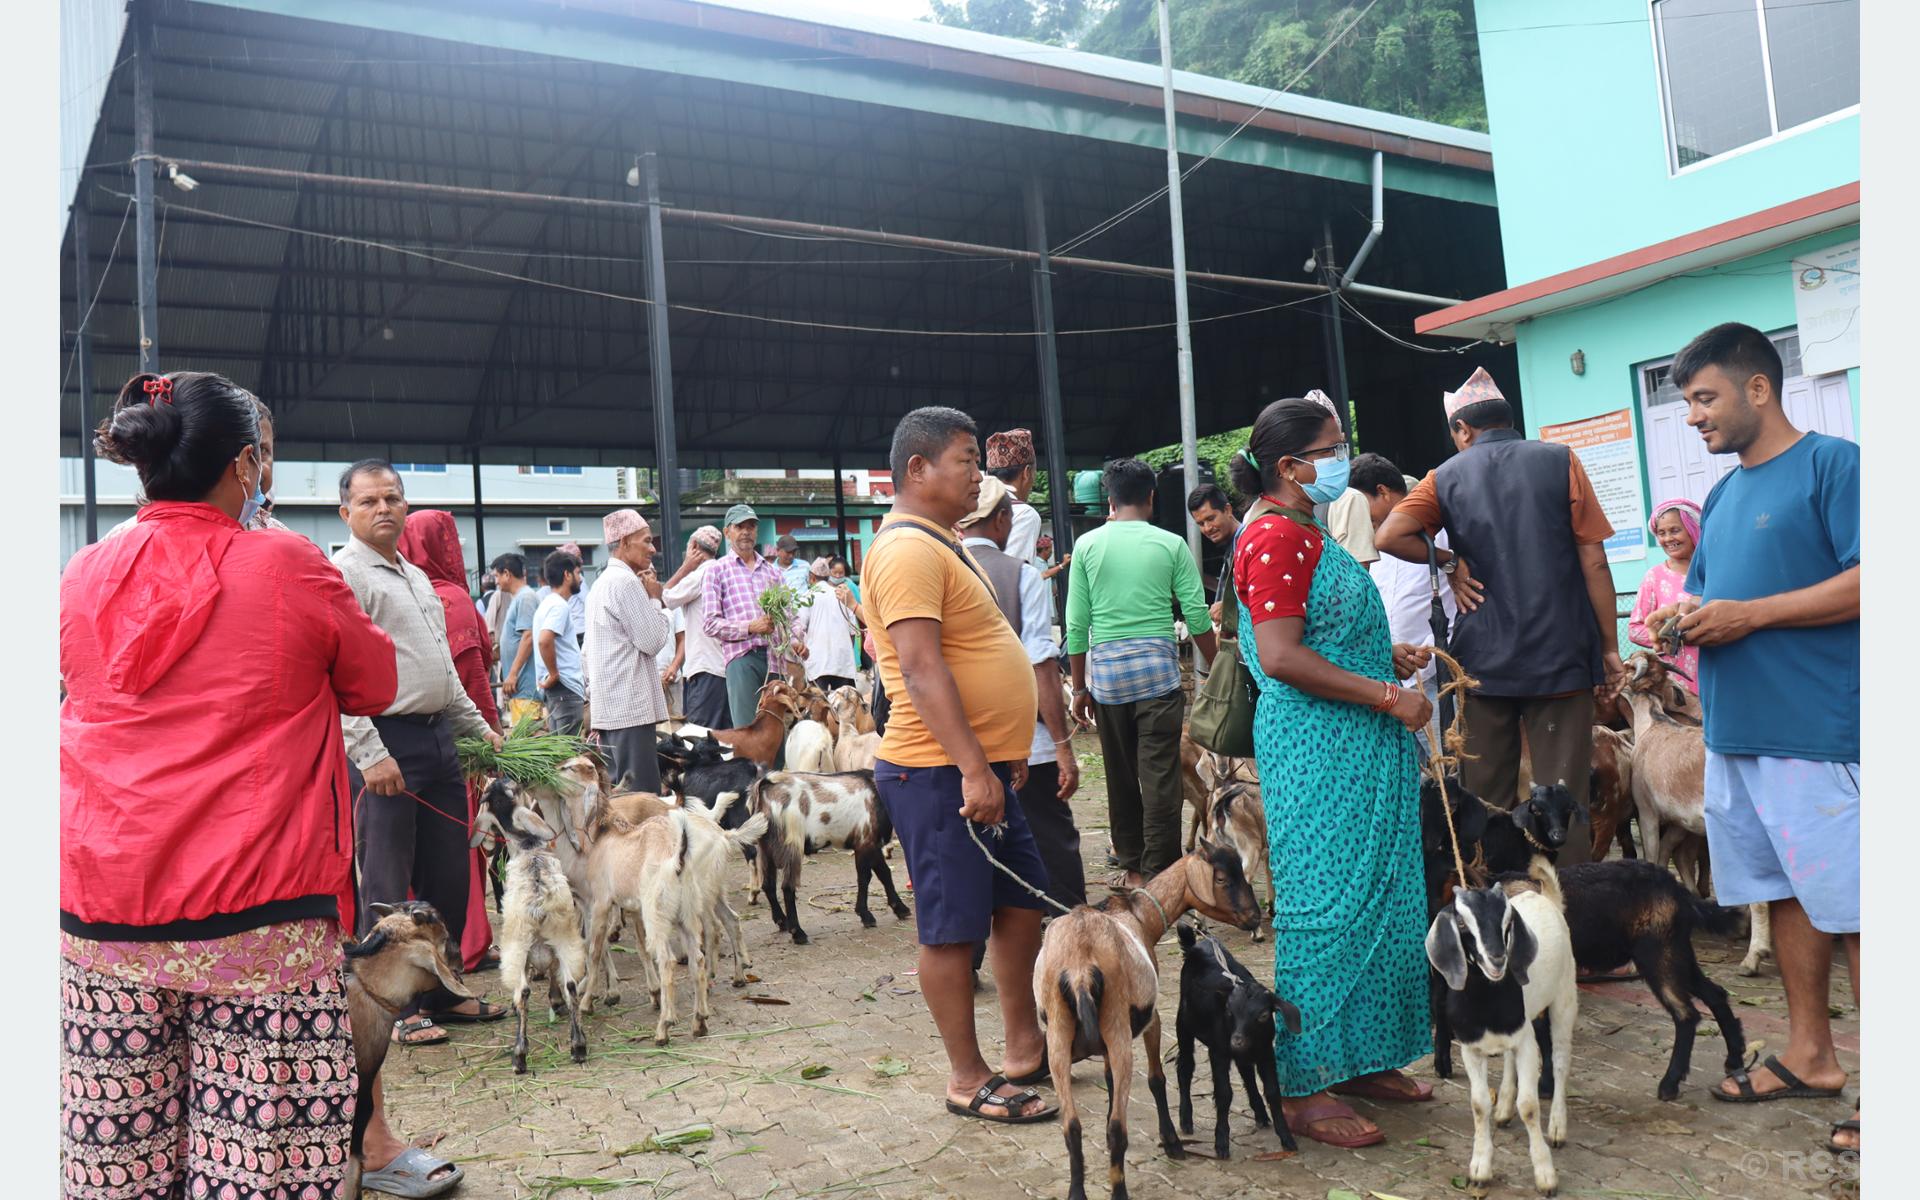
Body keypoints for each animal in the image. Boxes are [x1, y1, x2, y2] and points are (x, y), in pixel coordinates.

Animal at [1036, 840, 1274, 1198]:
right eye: (1221, 878)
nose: (1253, 917)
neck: (1139, 917)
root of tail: (1079, 968)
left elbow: (1108, 1079)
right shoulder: (1151, 1019)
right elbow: (1156, 1079)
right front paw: (1172, 1140)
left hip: (1059, 1036)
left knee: (1071, 1126)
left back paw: (1077, 1191)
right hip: (1118, 1027)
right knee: (1117, 1129)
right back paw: (1122, 1189)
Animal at [1167, 921, 1305, 1159]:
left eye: (1263, 1015)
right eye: (1229, 1012)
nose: (1237, 1041)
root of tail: (1196, 945)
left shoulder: (1265, 1052)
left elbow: (1272, 1091)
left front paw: (1286, 1138)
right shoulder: (1218, 1052)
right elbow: (1224, 1094)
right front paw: (1221, 1143)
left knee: (1246, 1074)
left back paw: (1260, 1114)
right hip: (1183, 1025)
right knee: (1184, 1067)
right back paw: (1186, 1119)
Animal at [1428, 856, 1574, 1190]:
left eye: (1507, 922)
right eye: (1462, 923)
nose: (1496, 959)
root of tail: (1543, 897)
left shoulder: (1526, 1041)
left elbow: (1530, 1105)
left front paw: (1545, 1174)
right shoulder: (1471, 1047)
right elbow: (1479, 1104)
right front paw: (1480, 1167)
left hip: (1564, 997)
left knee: (1560, 1060)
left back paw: (1557, 1126)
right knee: (1509, 1059)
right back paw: (1505, 1105)